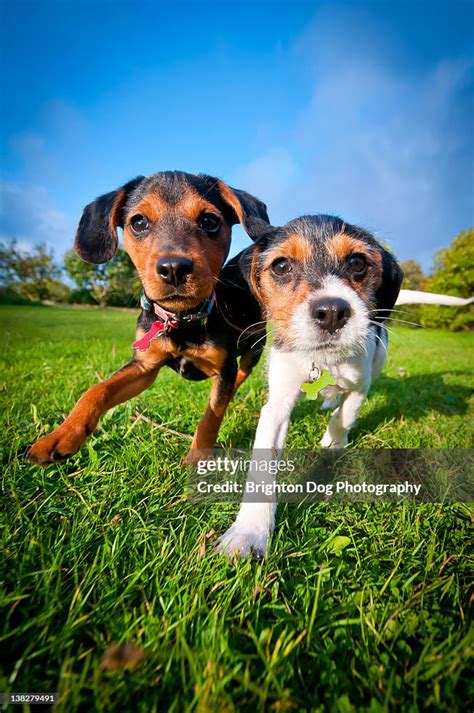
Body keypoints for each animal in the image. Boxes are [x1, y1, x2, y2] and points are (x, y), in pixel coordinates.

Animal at [27, 170, 268, 464]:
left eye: (210, 221)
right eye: (139, 222)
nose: (174, 268)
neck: (181, 320)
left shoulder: (223, 367)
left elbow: (212, 415)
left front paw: (198, 456)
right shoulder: (144, 366)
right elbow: (97, 390)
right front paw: (61, 435)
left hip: (253, 348)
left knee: (241, 374)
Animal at [217, 214, 472, 560]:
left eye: (358, 262)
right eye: (281, 266)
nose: (332, 312)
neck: (325, 360)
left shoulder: (360, 385)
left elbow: (345, 416)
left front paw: (332, 443)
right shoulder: (277, 404)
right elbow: (263, 464)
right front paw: (248, 532)